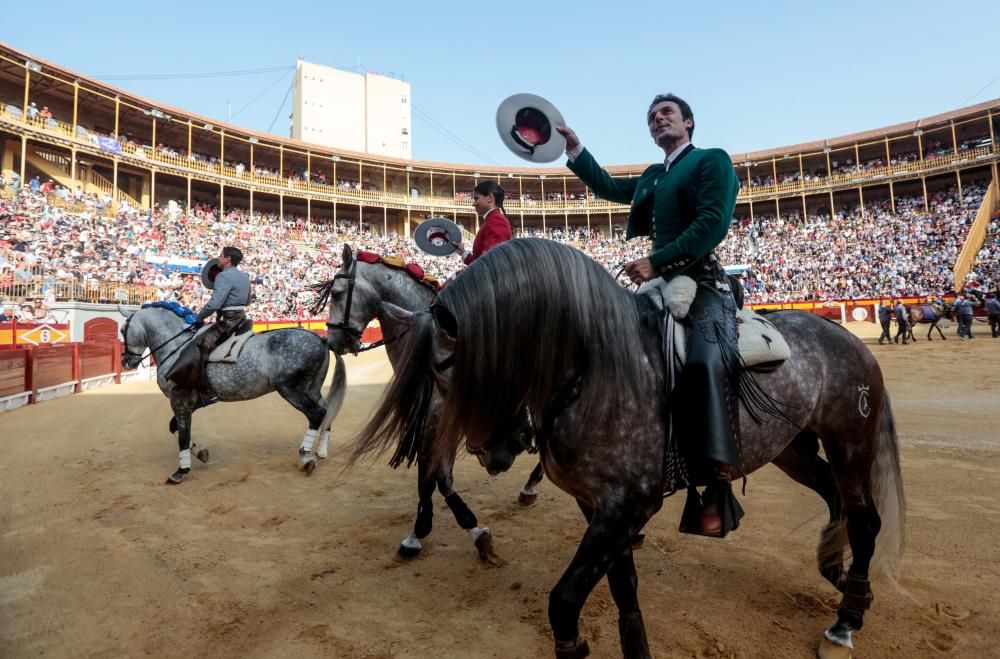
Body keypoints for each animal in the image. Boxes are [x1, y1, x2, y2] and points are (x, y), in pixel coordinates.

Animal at [121, 304, 344, 484]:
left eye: (123, 329)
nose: (126, 362)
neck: (175, 347)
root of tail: (320, 338)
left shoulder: (179, 401)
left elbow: (182, 435)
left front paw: (180, 472)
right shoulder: (190, 403)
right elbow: (174, 428)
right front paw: (201, 453)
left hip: (291, 390)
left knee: (316, 414)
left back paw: (306, 457)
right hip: (312, 390)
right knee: (327, 411)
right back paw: (321, 452)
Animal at [316, 245, 544, 564]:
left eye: (336, 293)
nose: (333, 341)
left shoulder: (437, 416)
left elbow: (435, 475)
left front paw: (444, 532)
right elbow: (434, 474)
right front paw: (429, 532)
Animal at [352, 240, 908, 659]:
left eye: (456, 369)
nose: (491, 452)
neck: (594, 367)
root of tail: (840, 333)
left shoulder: (630, 504)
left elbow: (564, 601)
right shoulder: (599, 506)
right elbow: (623, 588)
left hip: (850, 442)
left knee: (866, 519)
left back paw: (845, 620)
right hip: (792, 449)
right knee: (835, 500)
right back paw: (839, 576)